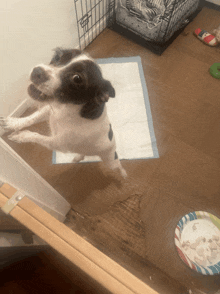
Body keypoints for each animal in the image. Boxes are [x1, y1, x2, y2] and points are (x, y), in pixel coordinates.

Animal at [0, 48, 127, 177]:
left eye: (77, 78)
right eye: (57, 56)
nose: (37, 71)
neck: (66, 109)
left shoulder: (58, 143)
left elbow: (37, 136)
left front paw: (22, 136)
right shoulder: (50, 111)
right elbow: (32, 118)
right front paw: (13, 123)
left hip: (110, 161)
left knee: (117, 166)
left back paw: (123, 174)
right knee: (83, 153)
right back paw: (77, 157)